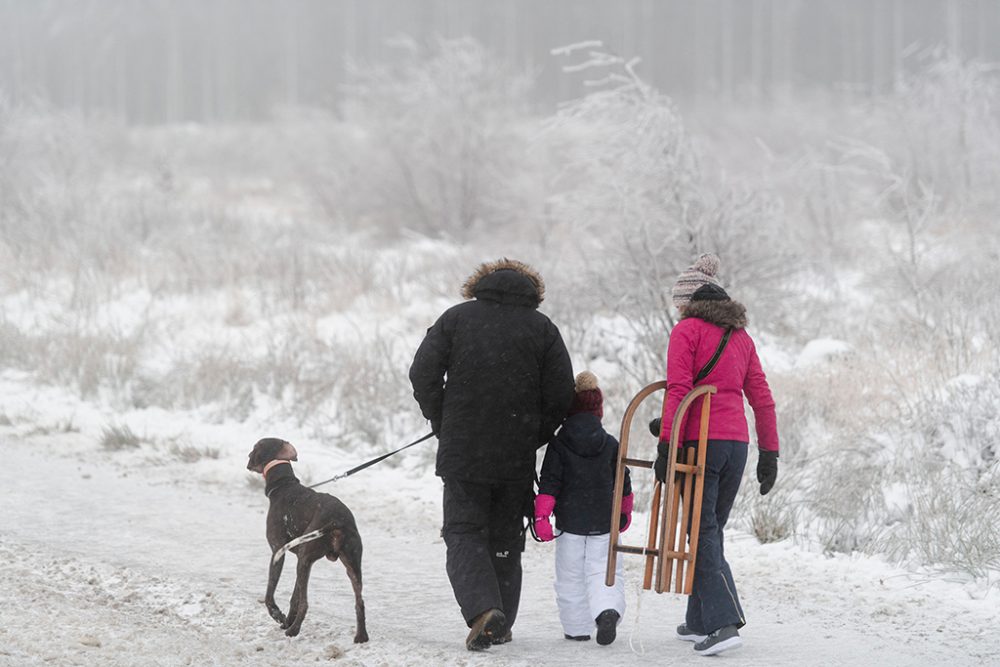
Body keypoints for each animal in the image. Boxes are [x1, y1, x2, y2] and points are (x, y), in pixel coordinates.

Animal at [244, 438, 370, 640]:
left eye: (255, 447)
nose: (248, 457)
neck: (284, 485)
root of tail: (337, 521)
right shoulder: (305, 560)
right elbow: (294, 597)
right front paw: (287, 619)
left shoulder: (277, 552)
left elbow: (270, 595)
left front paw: (279, 616)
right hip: (351, 565)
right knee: (360, 602)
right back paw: (361, 637)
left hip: (304, 559)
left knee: (305, 604)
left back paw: (293, 630)